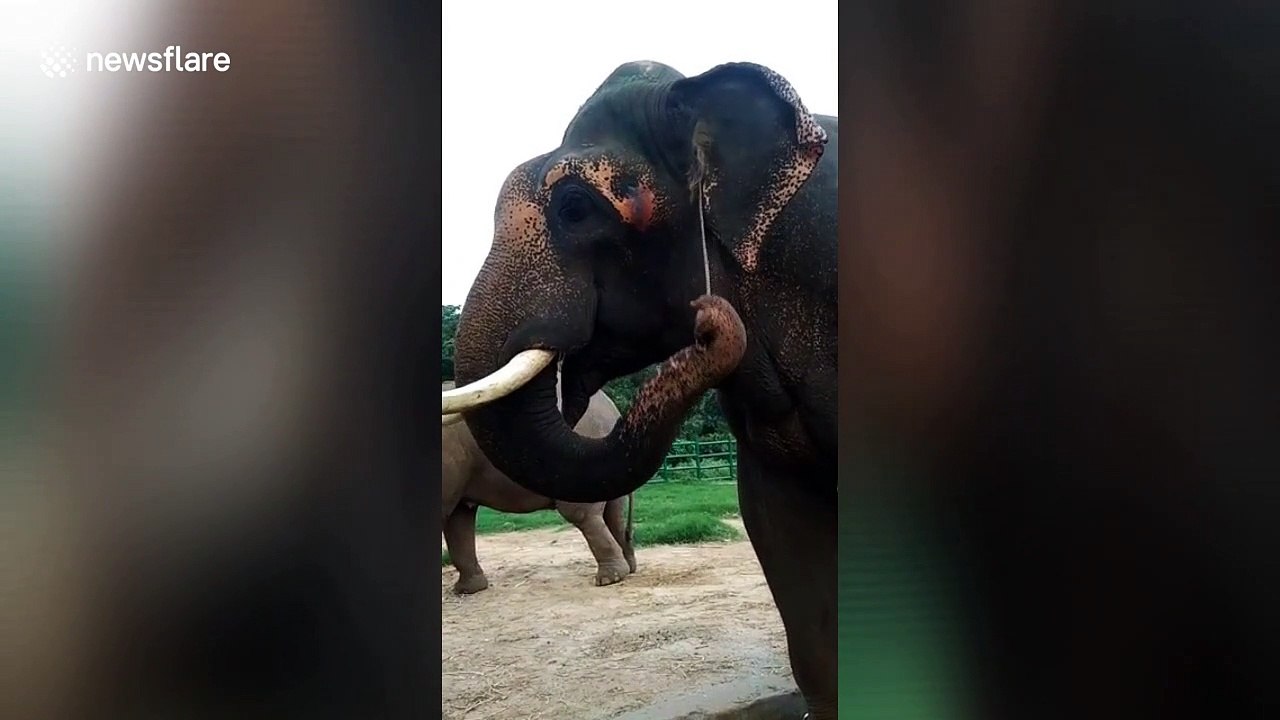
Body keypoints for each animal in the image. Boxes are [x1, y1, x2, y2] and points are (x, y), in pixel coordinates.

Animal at [442, 381, 636, 593]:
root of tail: (613, 411)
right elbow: (458, 518)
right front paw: (467, 591)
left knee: (582, 514)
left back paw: (610, 579)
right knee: (614, 514)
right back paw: (628, 569)